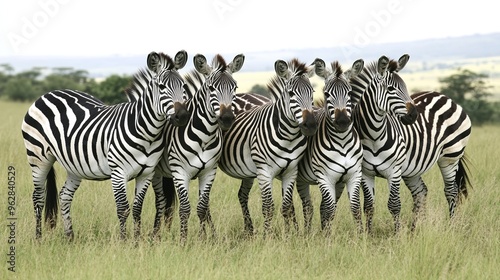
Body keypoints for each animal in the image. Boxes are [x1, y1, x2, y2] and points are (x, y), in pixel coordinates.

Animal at [21, 51, 189, 240]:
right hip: (38, 157)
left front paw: (137, 241)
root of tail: (47, 94)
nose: (182, 116)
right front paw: (124, 241)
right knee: (38, 198)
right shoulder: (118, 173)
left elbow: (137, 209)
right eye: (161, 87)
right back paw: (38, 238)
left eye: (183, 86)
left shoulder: (146, 173)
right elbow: (123, 209)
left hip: (74, 165)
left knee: (64, 195)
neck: (147, 132)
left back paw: (70, 237)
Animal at [130, 53, 245, 242]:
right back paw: (156, 235)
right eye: (211, 88)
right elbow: (185, 209)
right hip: (155, 172)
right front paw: (183, 240)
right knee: (161, 202)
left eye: (234, 88)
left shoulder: (209, 171)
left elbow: (202, 207)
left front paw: (204, 238)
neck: (204, 136)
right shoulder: (180, 172)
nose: (227, 119)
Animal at [218, 58, 316, 234]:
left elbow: (287, 206)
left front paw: (290, 234)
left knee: (242, 195)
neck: (288, 136)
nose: (311, 125)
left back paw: (249, 230)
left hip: (247, 170)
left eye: (312, 92)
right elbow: (268, 207)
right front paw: (268, 236)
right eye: (291, 93)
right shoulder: (264, 172)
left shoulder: (291, 170)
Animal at [294, 58, 366, 233]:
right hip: (301, 179)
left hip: (338, 183)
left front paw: (361, 235)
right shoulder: (324, 177)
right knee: (308, 206)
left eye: (349, 93)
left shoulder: (354, 175)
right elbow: (330, 209)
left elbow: (355, 207)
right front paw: (327, 237)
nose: (343, 122)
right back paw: (307, 233)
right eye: (326, 94)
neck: (342, 142)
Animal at [346, 54, 420, 232]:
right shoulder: (365, 172)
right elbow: (369, 206)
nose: (414, 115)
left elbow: (394, 205)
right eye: (391, 89)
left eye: (406, 87)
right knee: (422, 192)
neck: (374, 137)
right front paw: (368, 233)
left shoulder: (395, 172)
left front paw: (398, 234)